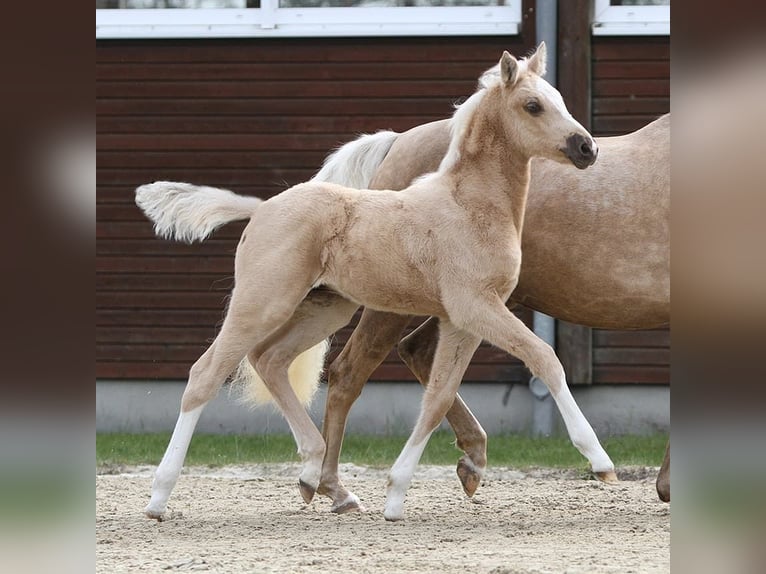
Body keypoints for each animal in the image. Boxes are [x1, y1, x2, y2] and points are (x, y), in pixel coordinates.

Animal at [136, 43, 616, 522]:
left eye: (559, 99)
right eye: (532, 105)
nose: (587, 148)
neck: (469, 206)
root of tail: (261, 208)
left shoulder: (462, 320)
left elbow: (438, 396)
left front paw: (397, 494)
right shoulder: (477, 307)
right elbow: (545, 359)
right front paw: (599, 461)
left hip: (326, 307)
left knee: (269, 359)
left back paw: (315, 472)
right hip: (263, 301)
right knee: (206, 374)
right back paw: (159, 497)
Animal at [311, 112, 670, 511]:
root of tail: (398, 142)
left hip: (473, 304)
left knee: (418, 354)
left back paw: (472, 459)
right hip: (402, 302)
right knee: (349, 372)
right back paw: (335, 489)